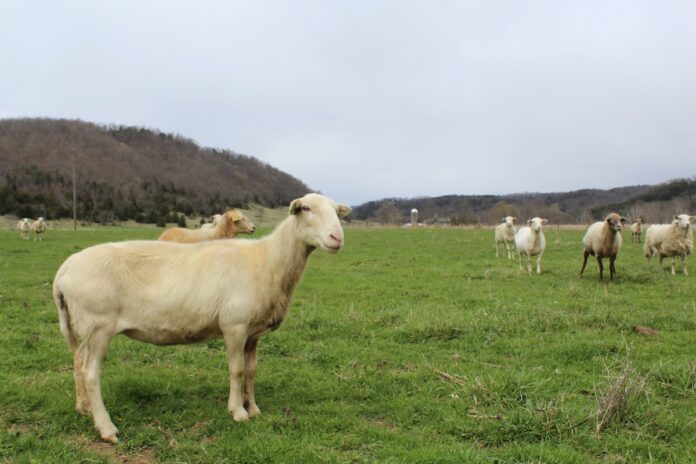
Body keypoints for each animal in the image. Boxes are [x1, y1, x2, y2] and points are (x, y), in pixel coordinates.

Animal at [53, 193, 351, 443]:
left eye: (337, 211)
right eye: (306, 209)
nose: (337, 238)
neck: (267, 261)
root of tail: (63, 271)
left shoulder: (253, 332)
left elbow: (252, 371)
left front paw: (254, 408)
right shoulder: (234, 325)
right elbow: (237, 369)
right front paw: (238, 412)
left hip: (87, 328)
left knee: (78, 361)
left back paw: (84, 408)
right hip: (99, 325)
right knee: (91, 373)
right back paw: (106, 428)